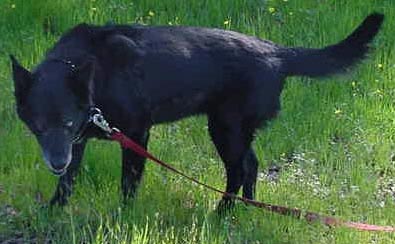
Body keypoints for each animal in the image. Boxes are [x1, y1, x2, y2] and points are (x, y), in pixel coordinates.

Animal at [11, 13, 384, 206]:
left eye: (67, 121)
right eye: (38, 127)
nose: (55, 162)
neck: (91, 73)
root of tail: (277, 52)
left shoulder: (135, 135)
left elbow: (128, 184)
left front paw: (123, 216)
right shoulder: (78, 142)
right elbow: (67, 183)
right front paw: (54, 211)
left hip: (225, 129)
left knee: (239, 171)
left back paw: (222, 213)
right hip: (232, 131)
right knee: (251, 166)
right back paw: (243, 210)